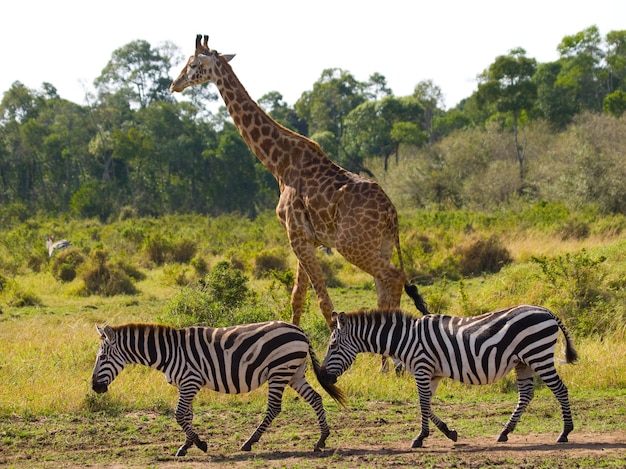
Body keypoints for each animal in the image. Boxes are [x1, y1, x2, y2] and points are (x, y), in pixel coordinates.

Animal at [91, 320, 346, 456]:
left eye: (102, 357)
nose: (94, 387)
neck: (169, 352)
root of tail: (300, 331)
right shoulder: (187, 385)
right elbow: (187, 415)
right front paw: (187, 445)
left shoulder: (190, 381)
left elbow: (179, 415)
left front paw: (199, 444)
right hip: (294, 372)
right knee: (316, 399)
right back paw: (321, 439)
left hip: (279, 371)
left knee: (274, 408)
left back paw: (249, 442)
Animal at [168, 35, 426, 330]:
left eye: (193, 64)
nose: (174, 85)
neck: (279, 164)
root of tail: (391, 214)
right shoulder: (305, 238)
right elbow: (298, 298)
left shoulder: (297, 236)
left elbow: (324, 302)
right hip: (380, 245)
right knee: (385, 288)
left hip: (352, 245)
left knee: (394, 278)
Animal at [320, 306, 576, 448]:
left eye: (333, 346)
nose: (322, 378)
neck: (405, 339)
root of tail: (546, 311)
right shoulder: (432, 374)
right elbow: (425, 404)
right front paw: (449, 432)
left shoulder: (422, 368)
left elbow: (423, 403)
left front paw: (420, 438)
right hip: (524, 362)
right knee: (526, 394)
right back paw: (504, 432)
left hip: (539, 355)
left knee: (560, 389)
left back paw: (564, 432)